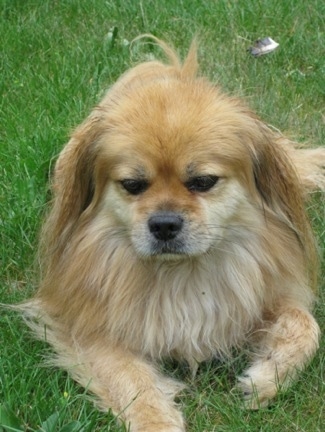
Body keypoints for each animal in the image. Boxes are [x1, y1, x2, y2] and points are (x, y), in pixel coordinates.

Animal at [22, 38, 324, 432]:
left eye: (203, 182)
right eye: (132, 185)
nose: (164, 224)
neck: (181, 275)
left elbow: (307, 327)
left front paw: (266, 377)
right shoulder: (87, 324)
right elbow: (131, 380)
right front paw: (157, 420)